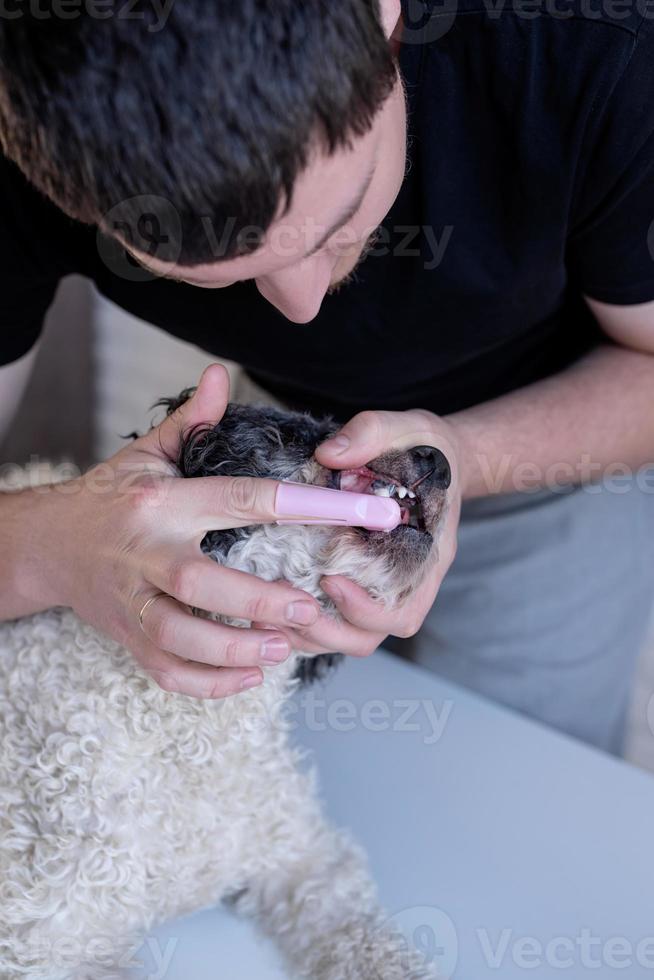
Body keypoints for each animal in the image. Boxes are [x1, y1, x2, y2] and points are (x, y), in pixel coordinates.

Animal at [0, 396, 452, 980]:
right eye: (303, 434)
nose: (440, 460)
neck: (195, 730)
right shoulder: (46, 944)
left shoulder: (306, 859)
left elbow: (366, 939)